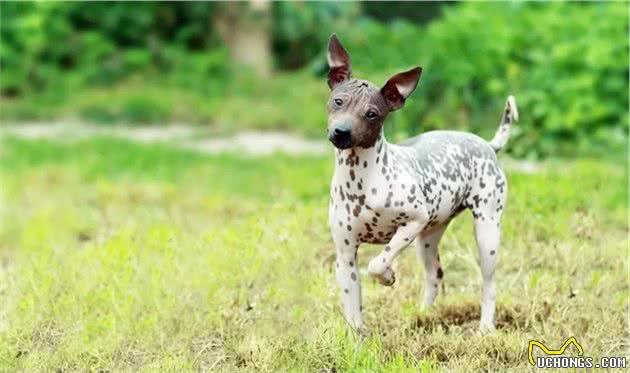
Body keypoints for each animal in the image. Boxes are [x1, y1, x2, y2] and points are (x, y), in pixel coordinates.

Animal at [326, 34, 520, 332]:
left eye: (372, 114)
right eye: (338, 101)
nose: (341, 132)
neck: (361, 180)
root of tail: (487, 144)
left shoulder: (413, 222)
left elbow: (377, 262)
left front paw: (388, 276)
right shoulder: (345, 256)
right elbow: (353, 310)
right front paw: (357, 338)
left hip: (486, 231)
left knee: (488, 284)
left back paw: (486, 327)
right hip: (428, 239)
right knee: (435, 275)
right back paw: (422, 315)